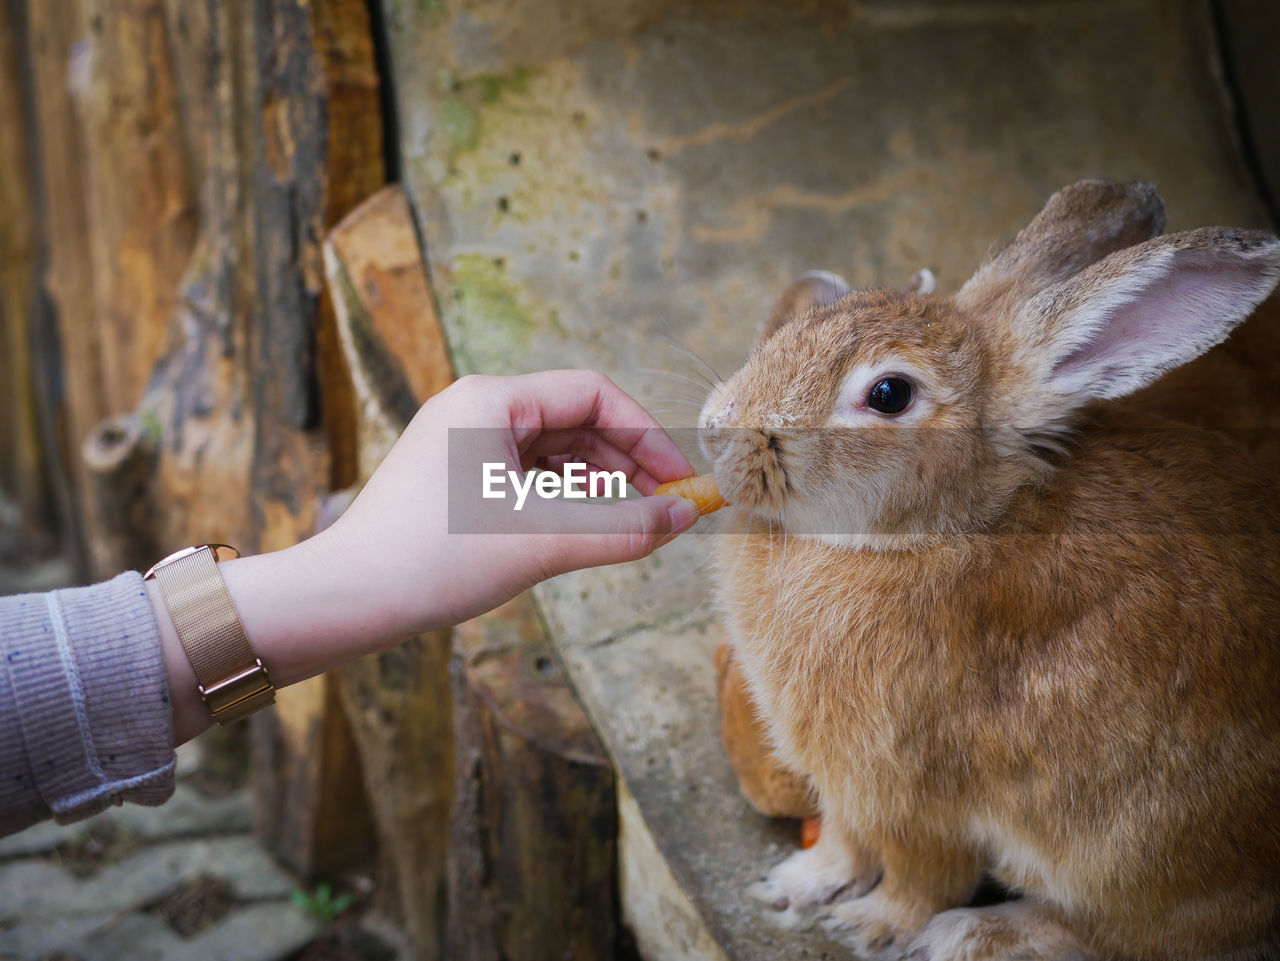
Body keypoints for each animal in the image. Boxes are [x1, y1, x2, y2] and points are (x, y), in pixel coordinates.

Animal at [706, 181, 1280, 961]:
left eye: (888, 395)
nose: (716, 429)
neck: (931, 534)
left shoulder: (915, 790)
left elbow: (922, 873)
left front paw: (870, 926)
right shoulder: (848, 785)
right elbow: (845, 842)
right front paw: (795, 884)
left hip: (1143, 851)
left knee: (1127, 933)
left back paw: (977, 930)